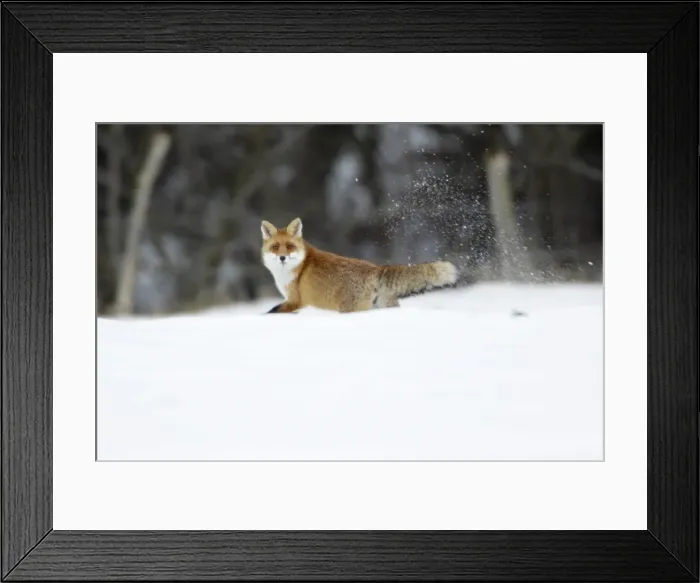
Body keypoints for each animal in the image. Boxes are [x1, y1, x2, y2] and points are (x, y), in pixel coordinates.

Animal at [260, 217, 459, 314]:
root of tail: (375, 268)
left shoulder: (296, 300)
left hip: (349, 310)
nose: (282, 257)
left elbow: (271, 312)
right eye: (275, 247)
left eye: (290, 246)